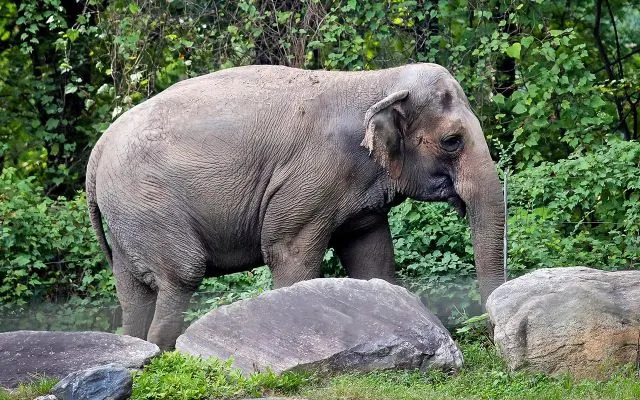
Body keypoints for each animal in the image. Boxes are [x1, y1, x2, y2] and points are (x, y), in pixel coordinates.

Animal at [86, 63, 505, 350]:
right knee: (182, 275)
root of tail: (99, 149)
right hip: (147, 203)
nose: (489, 334)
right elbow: (289, 253)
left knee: (133, 292)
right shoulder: (310, 179)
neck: (377, 81)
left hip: (127, 217)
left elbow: (373, 259)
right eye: (452, 141)